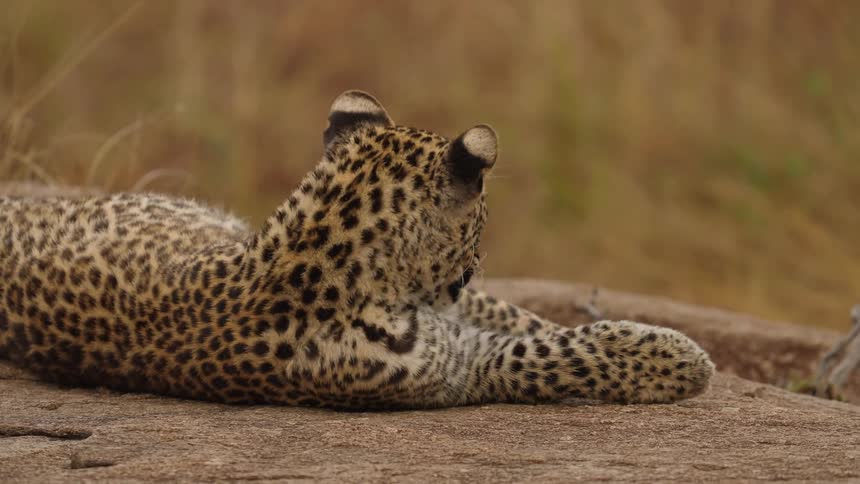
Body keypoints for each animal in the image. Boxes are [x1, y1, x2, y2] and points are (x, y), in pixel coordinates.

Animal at [0, 90, 714, 409]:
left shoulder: (457, 318)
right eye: (483, 220)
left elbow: (524, 318)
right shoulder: (458, 367)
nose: (471, 271)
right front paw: (679, 359)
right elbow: (547, 354)